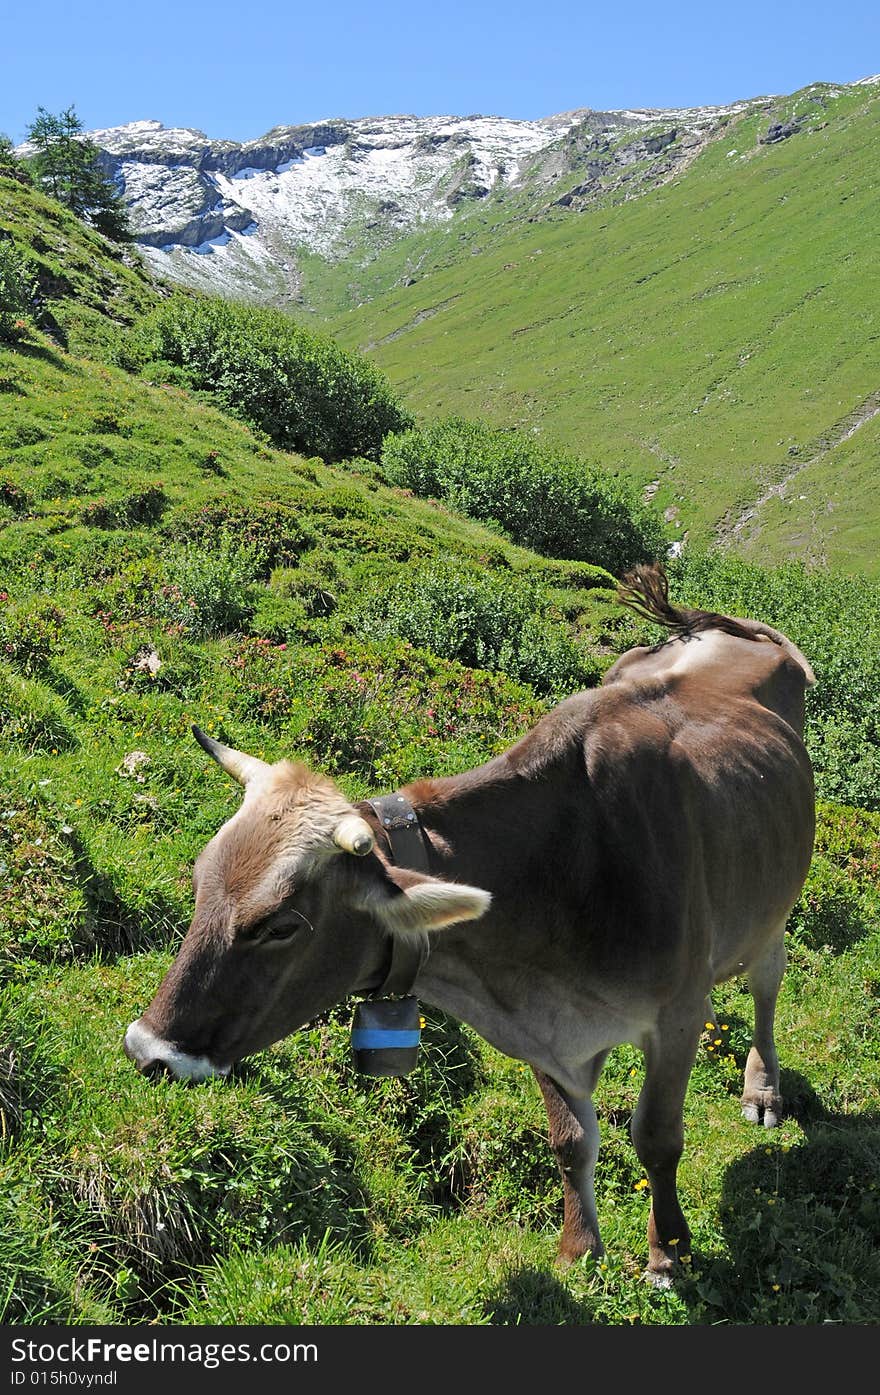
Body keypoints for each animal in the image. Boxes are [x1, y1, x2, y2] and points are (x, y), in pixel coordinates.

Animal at [125, 560, 820, 1277]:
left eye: (281, 925)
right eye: (200, 880)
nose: (148, 1051)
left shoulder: (679, 1014)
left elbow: (657, 1137)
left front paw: (667, 1252)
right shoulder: (545, 1030)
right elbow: (570, 1139)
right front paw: (579, 1248)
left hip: (773, 907)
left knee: (768, 983)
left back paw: (763, 1089)